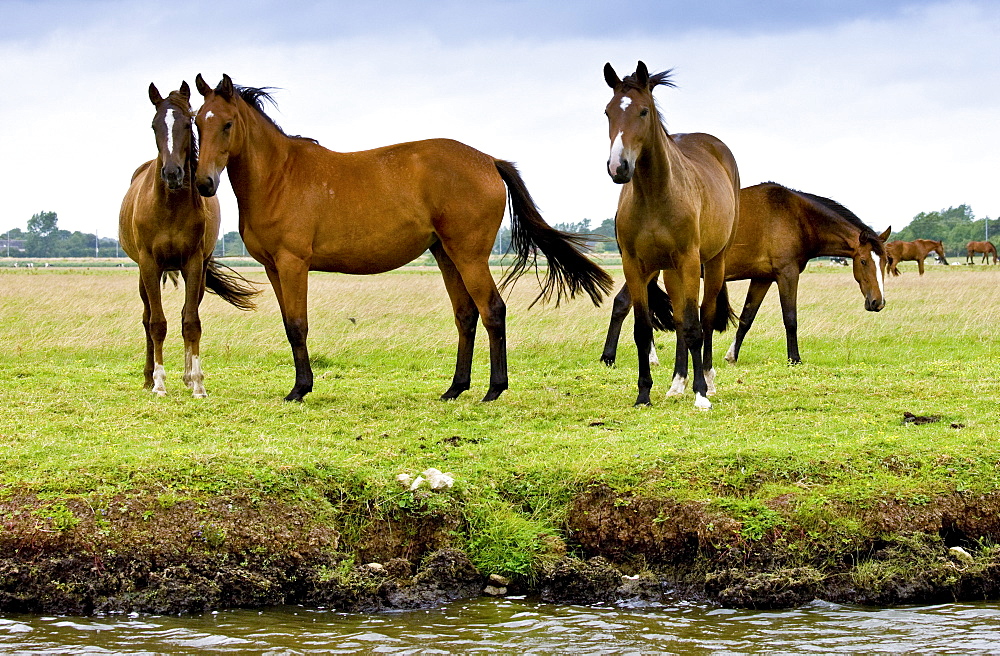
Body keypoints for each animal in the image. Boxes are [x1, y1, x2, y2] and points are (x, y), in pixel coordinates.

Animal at [117, 82, 260, 400]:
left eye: (188, 123)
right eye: (154, 125)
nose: (172, 173)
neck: (170, 205)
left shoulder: (194, 264)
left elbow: (191, 323)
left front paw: (197, 383)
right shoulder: (149, 264)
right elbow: (157, 324)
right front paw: (158, 383)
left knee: (185, 314)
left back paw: (185, 376)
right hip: (144, 274)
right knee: (147, 317)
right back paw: (148, 378)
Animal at [188, 72, 608, 400]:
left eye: (227, 123)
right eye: (196, 123)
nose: (204, 183)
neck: (279, 175)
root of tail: (489, 161)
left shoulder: (293, 264)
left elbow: (297, 324)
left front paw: (300, 389)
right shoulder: (273, 268)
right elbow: (290, 327)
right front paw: (300, 385)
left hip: (469, 255)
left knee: (492, 310)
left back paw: (494, 389)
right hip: (446, 255)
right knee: (466, 315)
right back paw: (455, 387)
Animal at [596, 182, 888, 366]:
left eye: (885, 261)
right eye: (863, 261)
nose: (878, 302)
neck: (796, 216)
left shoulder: (763, 278)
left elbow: (747, 318)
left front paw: (731, 356)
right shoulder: (787, 274)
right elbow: (790, 318)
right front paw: (794, 359)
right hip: (647, 268)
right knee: (623, 304)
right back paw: (611, 357)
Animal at [600, 62, 744, 410]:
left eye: (643, 111)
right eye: (608, 111)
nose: (618, 167)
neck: (655, 195)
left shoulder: (689, 261)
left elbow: (694, 326)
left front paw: (701, 394)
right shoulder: (635, 265)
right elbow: (644, 329)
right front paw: (643, 394)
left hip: (713, 262)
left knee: (705, 317)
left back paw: (707, 381)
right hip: (669, 270)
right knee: (679, 319)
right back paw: (678, 382)